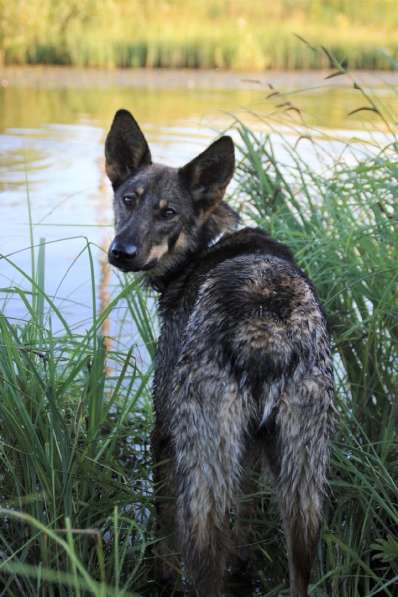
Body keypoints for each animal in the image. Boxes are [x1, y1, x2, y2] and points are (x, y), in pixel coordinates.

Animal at [105, 109, 332, 592]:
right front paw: (243, 567)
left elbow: (162, 528)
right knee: (298, 575)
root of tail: (264, 333)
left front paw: (160, 576)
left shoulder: (163, 433)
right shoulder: (251, 451)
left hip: (202, 471)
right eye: (129, 200)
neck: (204, 245)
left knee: (202, 565)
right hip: (304, 491)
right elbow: (243, 523)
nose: (121, 252)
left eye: (169, 212)